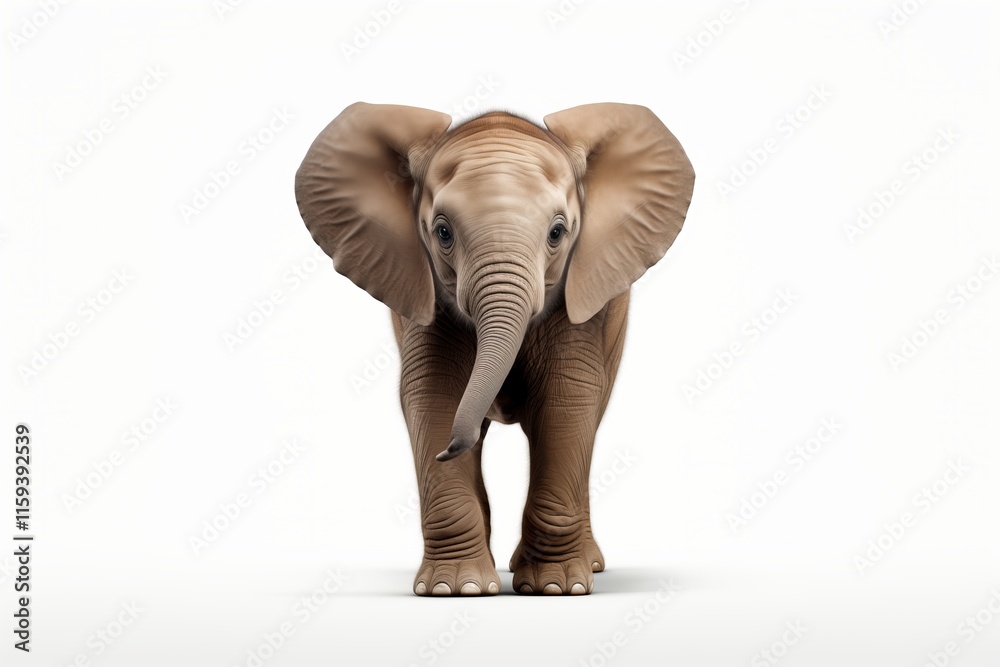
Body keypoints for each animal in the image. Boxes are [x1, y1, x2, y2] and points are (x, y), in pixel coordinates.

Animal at [295, 101, 694, 596]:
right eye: (442, 233)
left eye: (558, 233)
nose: (447, 450)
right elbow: (434, 396)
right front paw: (455, 589)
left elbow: (565, 401)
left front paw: (556, 588)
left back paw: (588, 566)